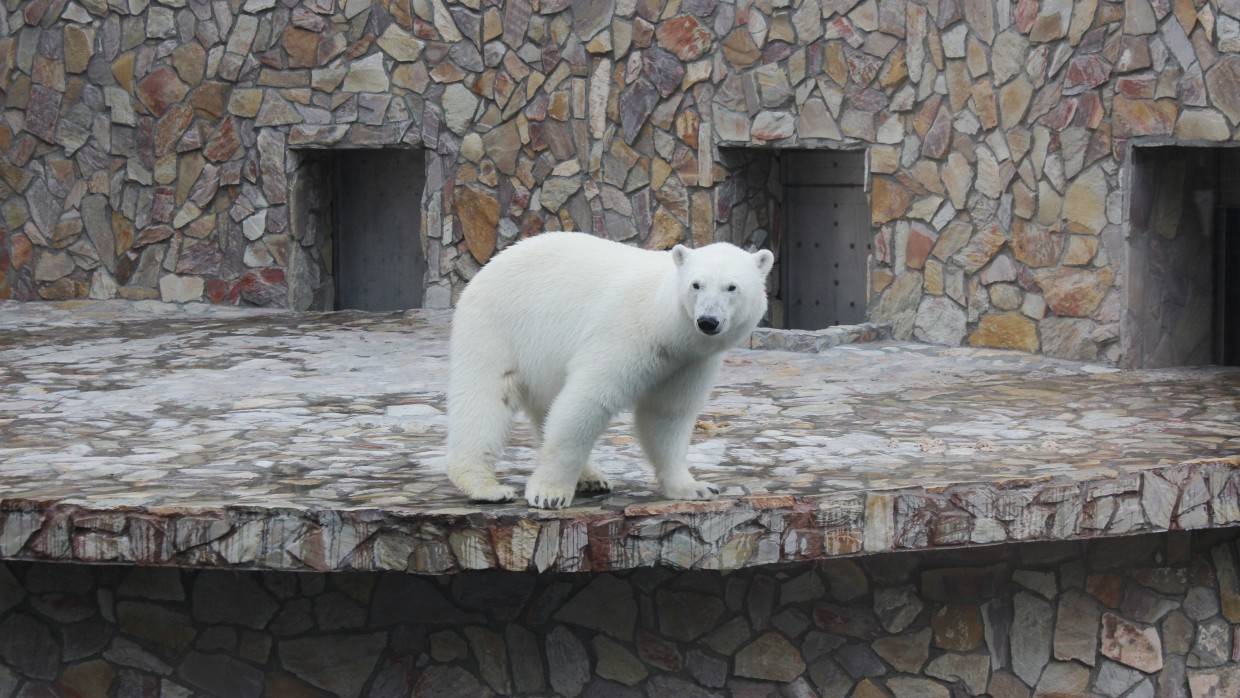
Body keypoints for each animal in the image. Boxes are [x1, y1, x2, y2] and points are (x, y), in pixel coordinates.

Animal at [446, 231, 773, 510]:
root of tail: (488, 266)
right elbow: (588, 401)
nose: (707, 321)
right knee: (486, 398)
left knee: (544, 406)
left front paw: (694, 487)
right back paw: (486, 487)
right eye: (696, 284)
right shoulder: (624, 335)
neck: (662, 321)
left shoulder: (687, 362)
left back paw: (592, 478)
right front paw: (549, 494)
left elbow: (667, 415)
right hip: (496, 326)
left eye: (732, 287)